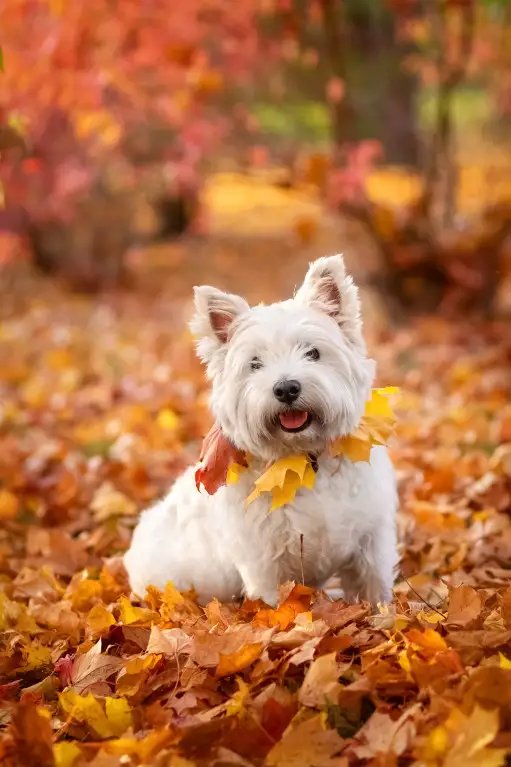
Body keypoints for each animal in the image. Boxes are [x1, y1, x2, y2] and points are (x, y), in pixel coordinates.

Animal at [125, 255, 400, 608]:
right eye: (255, 364)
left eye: (313, 352)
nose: (286, 389)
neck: (303, 460)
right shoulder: (263, 564)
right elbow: (271, 606)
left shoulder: (371, 540)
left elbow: (374, 590)